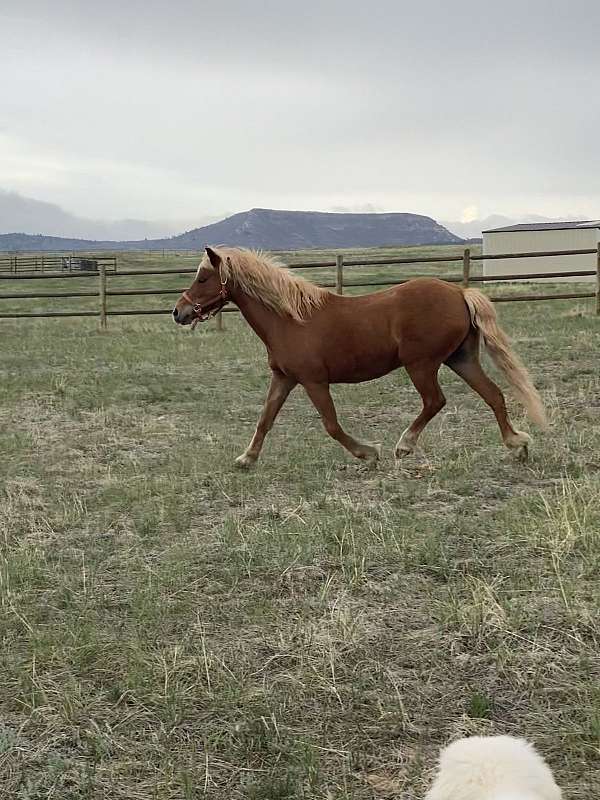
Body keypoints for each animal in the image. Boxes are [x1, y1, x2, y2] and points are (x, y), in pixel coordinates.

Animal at [173, 246, 547, 467]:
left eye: (203, 277)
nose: (178, 312)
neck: (290, 318)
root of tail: (459, 291)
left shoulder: (314, 381)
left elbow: (331, 425)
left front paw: (368, 453)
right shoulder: (284, 378)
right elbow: (265, 419)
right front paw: (246, 459)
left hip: (421, 364)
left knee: (435, 401)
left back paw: (403, 446)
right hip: (460, 359)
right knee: (494, 395)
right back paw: (517, 444)